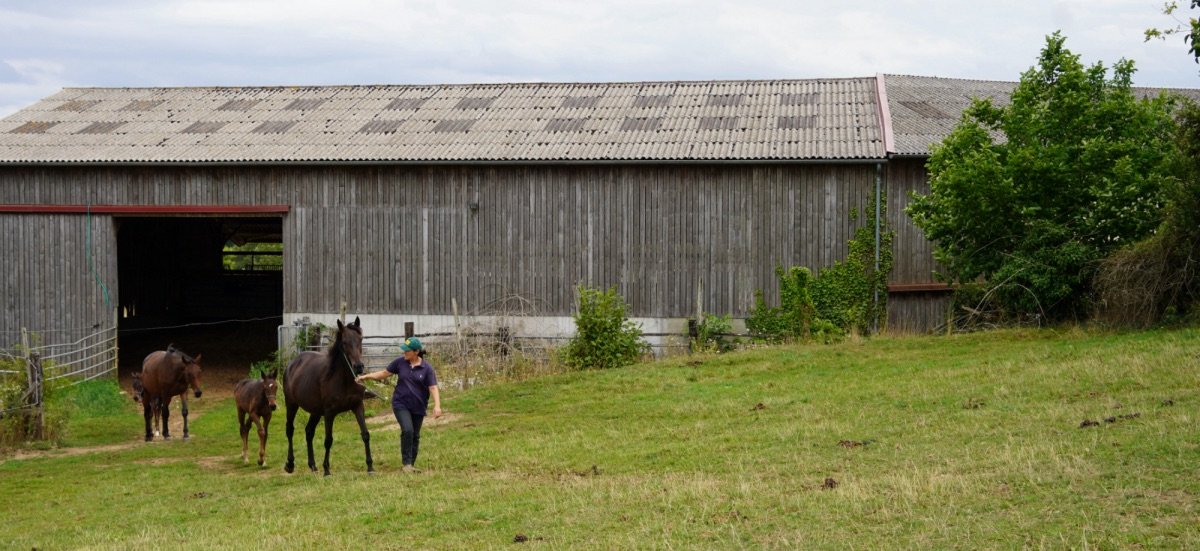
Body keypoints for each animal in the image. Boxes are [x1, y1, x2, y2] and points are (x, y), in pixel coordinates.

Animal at [283, 317, 373, 476]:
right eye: (344, 342)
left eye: (360, 339)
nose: (358, 367)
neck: (343, 380)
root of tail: (292, 364)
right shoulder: (329, 413)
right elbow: (328, 440)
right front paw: (326, 470)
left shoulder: (358, 406)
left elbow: (365, 434)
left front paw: (370, 467)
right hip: (291, 404)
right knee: (290, 429)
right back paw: (290, 464)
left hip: (315, 411)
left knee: (309, 431)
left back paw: (312, 465)